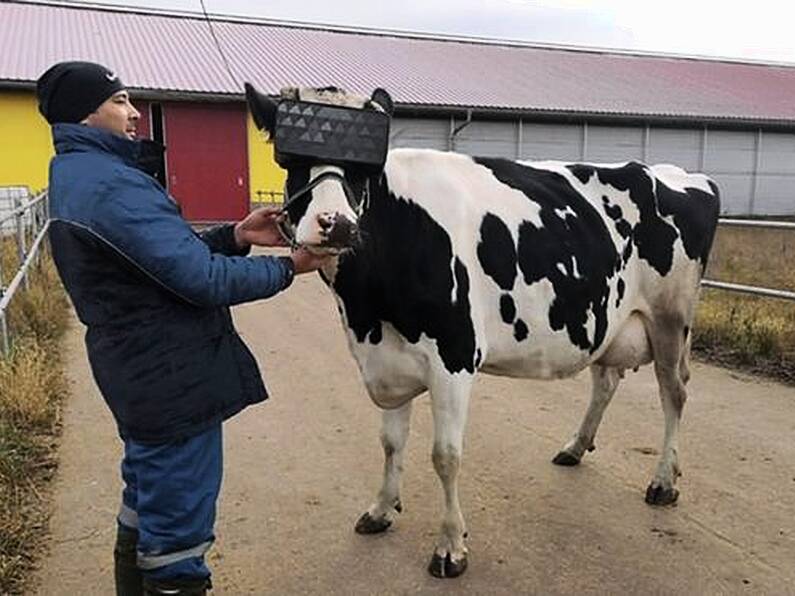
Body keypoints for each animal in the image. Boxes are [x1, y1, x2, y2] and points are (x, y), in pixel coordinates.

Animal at [247, 84, 720, 576]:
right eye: (291, 161)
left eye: (365, 170)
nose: (335, 224)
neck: (367, 311)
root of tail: (676, 173)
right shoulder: (387, 360)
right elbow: (391, 443)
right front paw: (380, 510)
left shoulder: (454, 357)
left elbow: (445, 456)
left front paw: (451, 546)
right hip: (608, 318)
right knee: (606, 380)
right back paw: (575, 447)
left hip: (671, 318)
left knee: (674, 392)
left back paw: (663, 482)